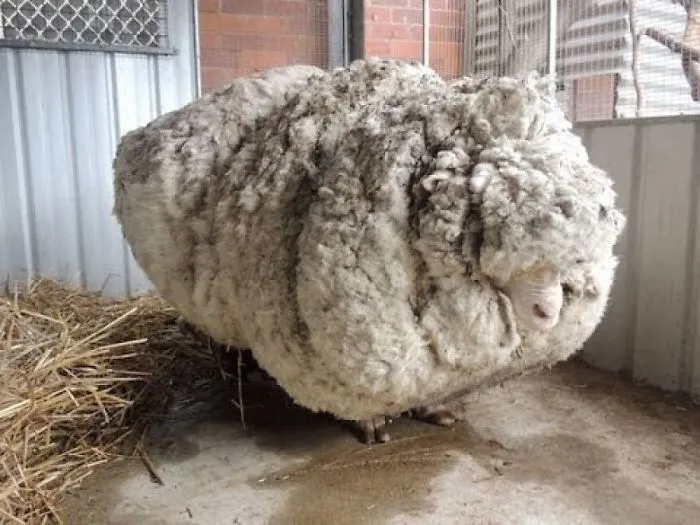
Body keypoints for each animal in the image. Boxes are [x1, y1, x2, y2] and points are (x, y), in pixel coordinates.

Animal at [113, 58, 626, 444]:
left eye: (574, 258)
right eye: (488, 227)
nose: (548, 312)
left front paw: (433, 411)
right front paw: (372, 424)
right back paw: (238, 376)